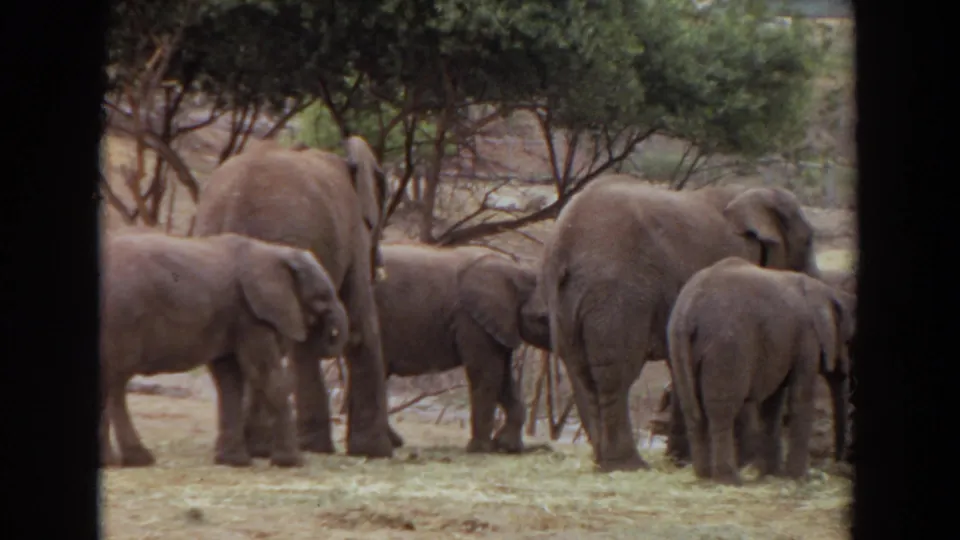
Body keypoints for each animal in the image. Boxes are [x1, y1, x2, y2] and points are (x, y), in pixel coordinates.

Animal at [99, 231, 348, 467]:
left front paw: (234, 462)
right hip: (122, 317)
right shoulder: (251, 316)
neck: (274, 251)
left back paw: (119, 461)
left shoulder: (233, 316)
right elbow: (265, 375)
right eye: (322, 297)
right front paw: (292, 462)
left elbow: (230, 380)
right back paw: (135, 460)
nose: (327, 336)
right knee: (116, 383)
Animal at [193, 136, 397, 459]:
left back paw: (255, 448)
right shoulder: (353, 234)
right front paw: (375, 452)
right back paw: (264, 447)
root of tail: (234, 203)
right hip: (282, 236)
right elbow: (360, 326)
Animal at [374, 243, 551, 453]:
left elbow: (503, 376)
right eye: (542, 319)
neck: (519, 270)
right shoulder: (471, 319)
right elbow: (486, 372)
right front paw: (480, 449)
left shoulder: (498, 323)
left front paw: (508, 447)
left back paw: (395, 442)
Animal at [540, 175, 822, 471]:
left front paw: (682, 460)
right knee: (615, 374)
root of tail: (564, 243)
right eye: (809, 240)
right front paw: (742, 462)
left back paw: (603, 461)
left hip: (565, 300)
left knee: (579, 371)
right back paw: (628, 465)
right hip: (616, 295)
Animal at [666, 256, 856, 485]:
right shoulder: (807, 337)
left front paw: (772, 474)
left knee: (692, 409)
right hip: (727, 346)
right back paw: (729, 479)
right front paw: (798, 477)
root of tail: (689, 310)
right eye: (848, 341)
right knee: (722, 412)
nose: (839, 464)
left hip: (677, 343)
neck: (822, 290)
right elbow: (799, 398)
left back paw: (704, 476)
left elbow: (772, 404)